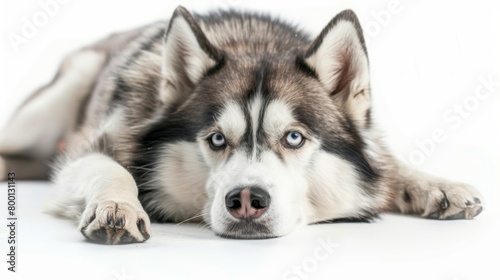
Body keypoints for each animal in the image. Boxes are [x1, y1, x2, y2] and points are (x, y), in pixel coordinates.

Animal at [0, 6, 484, 243]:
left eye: (294, 137)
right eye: (217, 139)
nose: (247, 200)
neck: (254, 42)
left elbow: (389, 166)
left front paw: (435, 184)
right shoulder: (92, 146)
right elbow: (108, 168)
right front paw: (117, 204)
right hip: (58, 95)